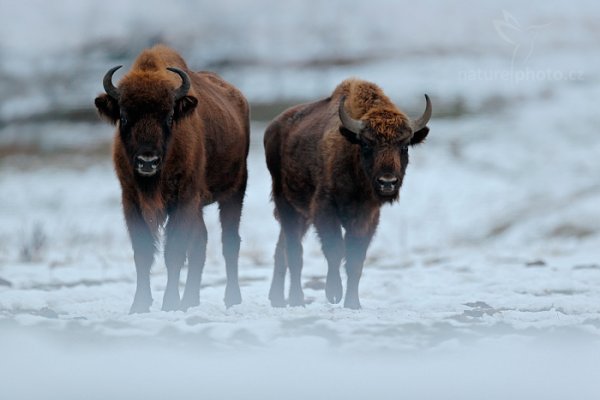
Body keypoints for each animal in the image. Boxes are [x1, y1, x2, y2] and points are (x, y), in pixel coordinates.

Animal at [95, 44, 250, 312]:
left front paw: (170, 304)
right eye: (124, 117)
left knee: (229, 242)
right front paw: (140, 305)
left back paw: (232, 299)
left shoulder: (183, 200)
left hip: (234, 192)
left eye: (168, 117)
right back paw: (191, 300)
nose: (147, 161)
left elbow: (175, 251)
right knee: (201, 243)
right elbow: (143, 253)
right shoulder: (131, 201)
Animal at [264, 78, 428, 310]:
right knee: (294, 252)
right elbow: (335, 251)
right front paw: (334, 294)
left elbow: (355, 260)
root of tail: (273, 128)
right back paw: (296, 300)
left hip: (301, 214)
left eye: (404, 146)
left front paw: (353, 303)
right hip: (285, 203)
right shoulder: (324, 210)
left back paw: (277, 299)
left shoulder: (367, 218)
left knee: (282, 249)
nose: (387, 182)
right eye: (367, 145)